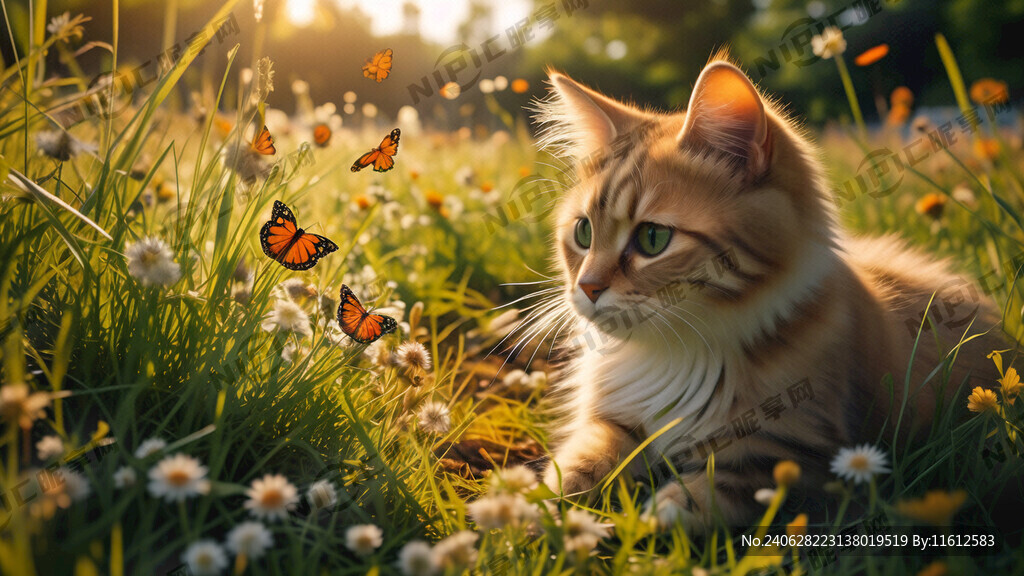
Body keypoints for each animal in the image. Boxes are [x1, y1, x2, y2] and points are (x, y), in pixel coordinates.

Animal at [532, 51, 1003, 532]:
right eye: (584, 233)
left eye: (652, 239)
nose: (587, 287)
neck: (680, 353)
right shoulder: (614, 420)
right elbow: (574, 469)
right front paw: (538, 518)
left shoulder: (790, 455)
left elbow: (693, 505)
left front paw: (638, 523)